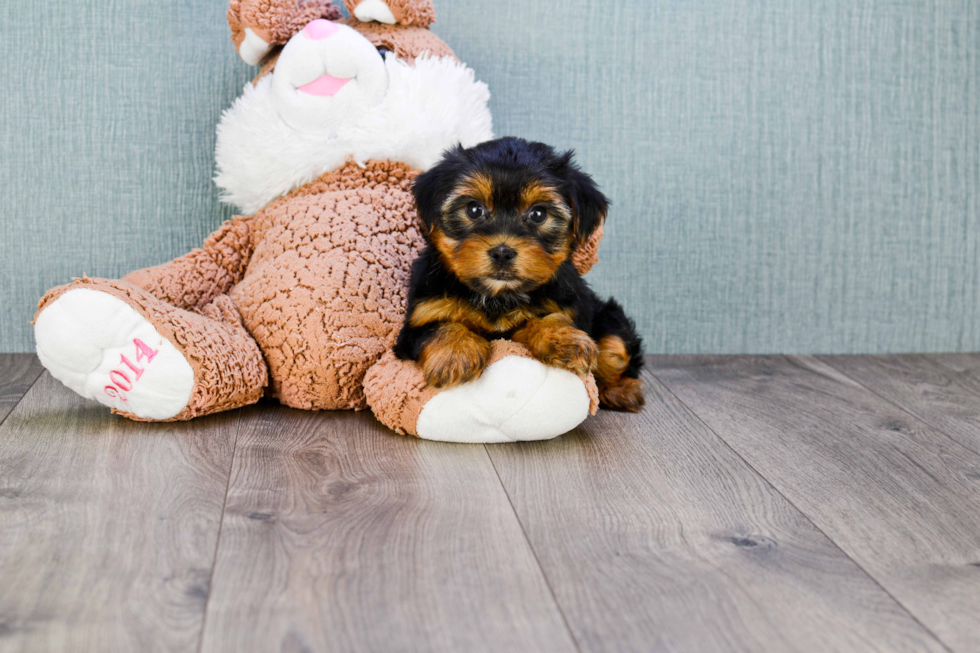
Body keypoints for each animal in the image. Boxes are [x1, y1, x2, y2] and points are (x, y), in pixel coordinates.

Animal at [394, 136, 648, 412]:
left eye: (538, 214)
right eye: (474, 209)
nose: (502, 252)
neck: (498, 295)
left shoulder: (568, 307)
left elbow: (546, 318)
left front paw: (565, 339)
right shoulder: (419, 318)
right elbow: (439, 326)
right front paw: (455, 353)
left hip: (609, 318)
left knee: (615, 350)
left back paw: (621, 390)